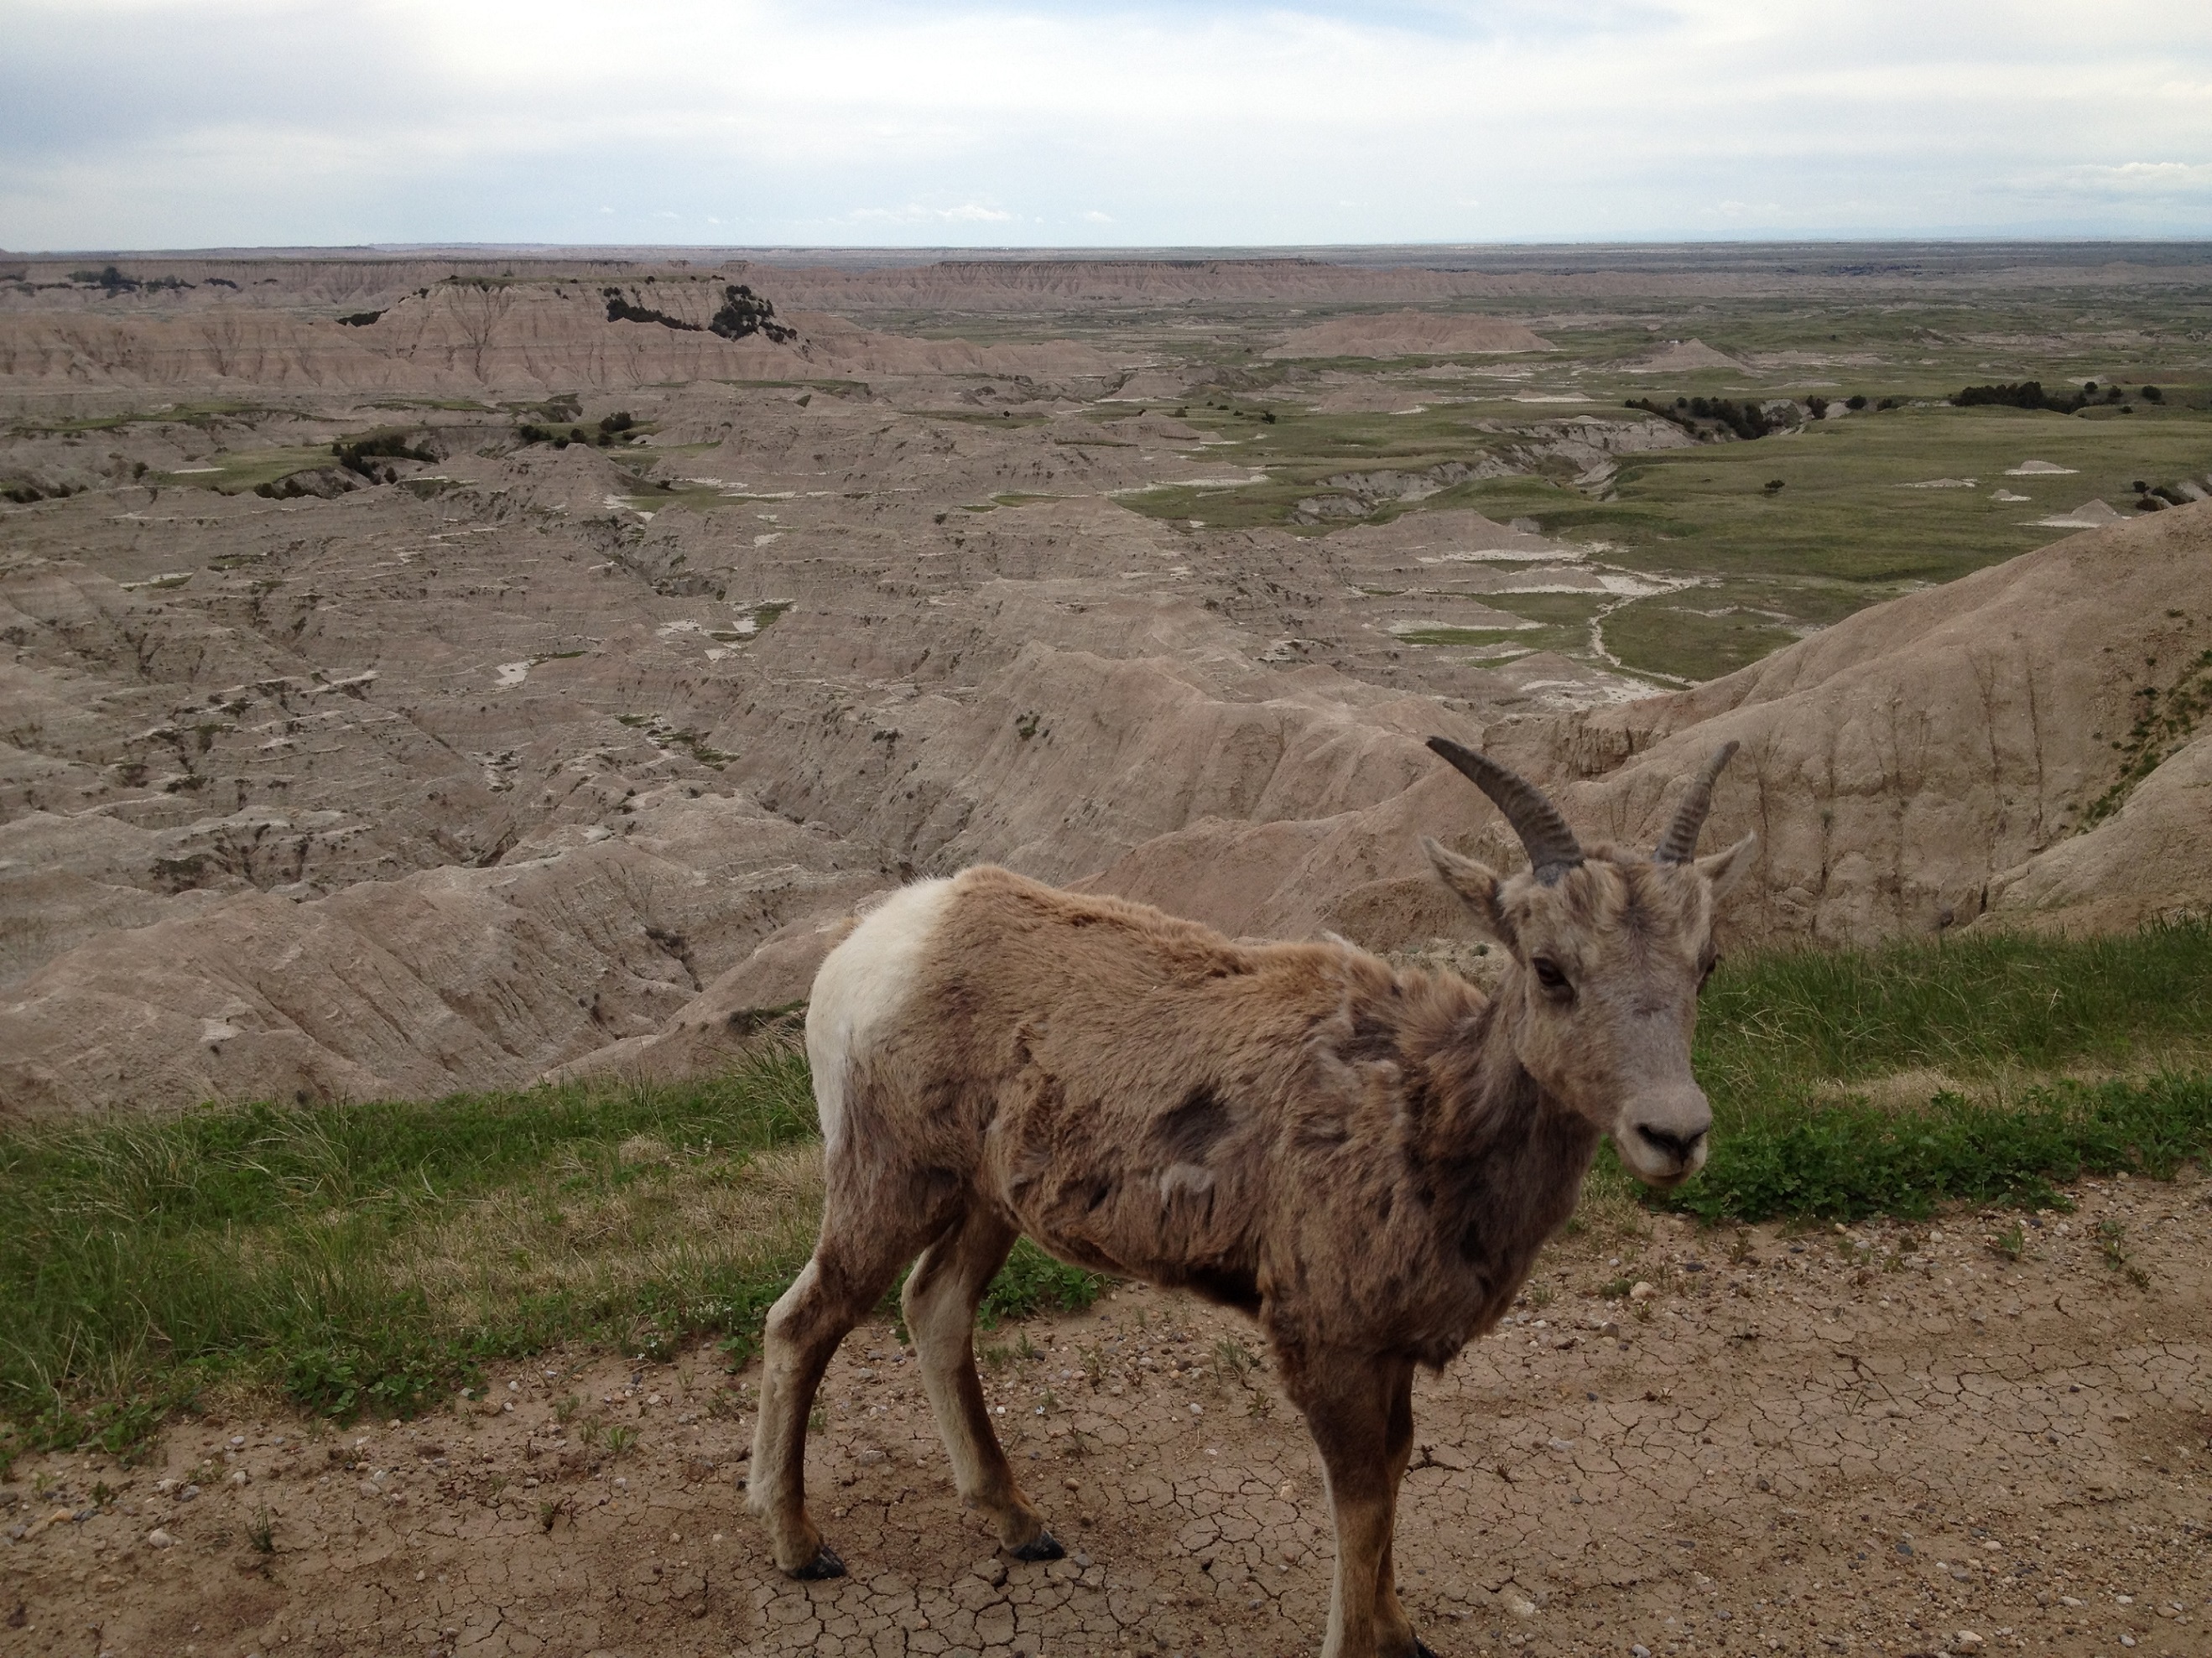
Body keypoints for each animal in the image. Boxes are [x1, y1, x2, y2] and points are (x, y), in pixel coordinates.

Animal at [752, 742, 1751, 1658]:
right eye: (1549, 968)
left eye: (1705, 965)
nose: (1674, 1133)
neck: (1422, 1115)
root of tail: (874, 945)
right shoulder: (1328, 1345)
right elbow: (1362, 1505)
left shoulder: (1386, 1352)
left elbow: (1394, 1476)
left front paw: (1404, 1633)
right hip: (890, 1180)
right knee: (804, 1320)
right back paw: (801, 1547)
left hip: (983, 1204)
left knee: (935, 1309)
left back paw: (1020, 1526)